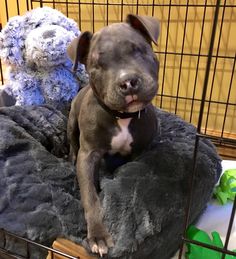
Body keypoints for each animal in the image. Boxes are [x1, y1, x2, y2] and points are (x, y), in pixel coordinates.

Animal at [66, 14, 160, 258]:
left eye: (139, 50)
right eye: (97, 65)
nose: (128, 82)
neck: (122, 117)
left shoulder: (139, 152)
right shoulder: (88, 155)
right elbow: (90, 197)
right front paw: (98, 236)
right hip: (72, 123)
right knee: (72, 146)